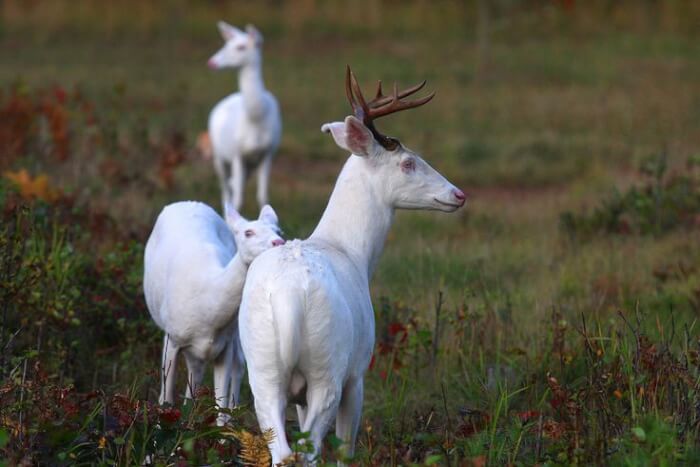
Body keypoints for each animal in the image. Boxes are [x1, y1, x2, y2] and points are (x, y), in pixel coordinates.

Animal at [142, 201, 284, 424]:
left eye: (278, 230)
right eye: (248, 232)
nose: (279, 242)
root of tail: (187, 202)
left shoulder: (224, 346)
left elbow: (220, 404)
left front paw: (222, 431)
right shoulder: (171, 337)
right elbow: (165, 399)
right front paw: (160, 431)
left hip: (235, 332)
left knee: (236, 364)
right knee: (195, 371)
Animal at [208, 22, 282, 212]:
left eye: (241, 47)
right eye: (225, 44)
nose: (212, 62)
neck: (255, 119)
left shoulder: (268, 152)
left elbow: (263, 197)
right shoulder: (236, 153)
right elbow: (238, 200)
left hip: (249, 166)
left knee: (232, 185)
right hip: (219, 156)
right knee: (226, 191)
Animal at [238, 66, 468, 464]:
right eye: (408, 162)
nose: (458, 194)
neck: (351, 252)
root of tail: (288, 299)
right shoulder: (359, 371)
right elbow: (346, 447)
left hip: (262, 368)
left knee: (284, 449)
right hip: (328, 368)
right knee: (309, 451)